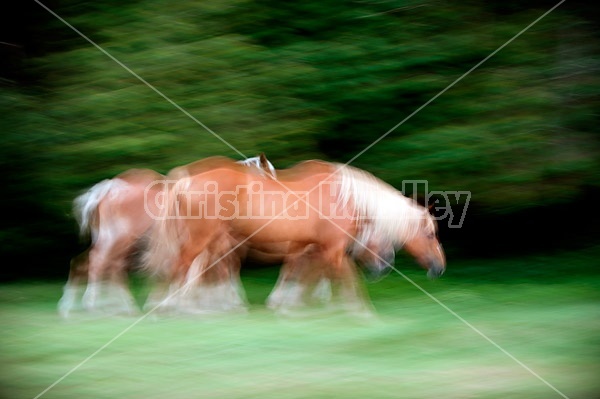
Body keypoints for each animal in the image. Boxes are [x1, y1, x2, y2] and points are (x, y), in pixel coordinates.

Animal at [57, 154, 278, 318]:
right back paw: (93, 305)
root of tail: (107, 189)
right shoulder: (217, 243)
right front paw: (224, 303)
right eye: (270, 175)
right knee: (99, 263)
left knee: (97, 265)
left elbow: (205, 272)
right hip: (118, 239)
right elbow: (215, 271)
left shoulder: (212, 244)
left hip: (114, 241)